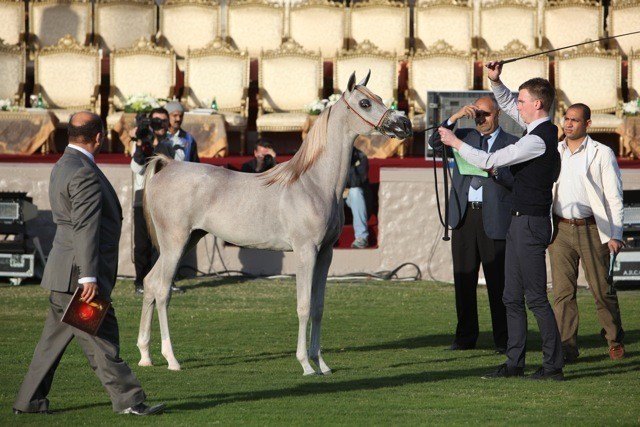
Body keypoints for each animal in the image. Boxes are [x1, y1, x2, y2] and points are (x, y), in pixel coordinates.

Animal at [137, 71, 412, 375]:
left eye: (379, 97)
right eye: (365, 102)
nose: (404, 124)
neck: (312, 183)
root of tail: (168, 166)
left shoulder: (326, 254)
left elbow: (318, 307)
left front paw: (322, 364)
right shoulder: (306, 252)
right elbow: (304, 306)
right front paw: (306, 364)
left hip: (187, 240)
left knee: (150, 283)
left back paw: (145, 355)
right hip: (175, 244)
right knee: (162, 290)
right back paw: (171, 359)